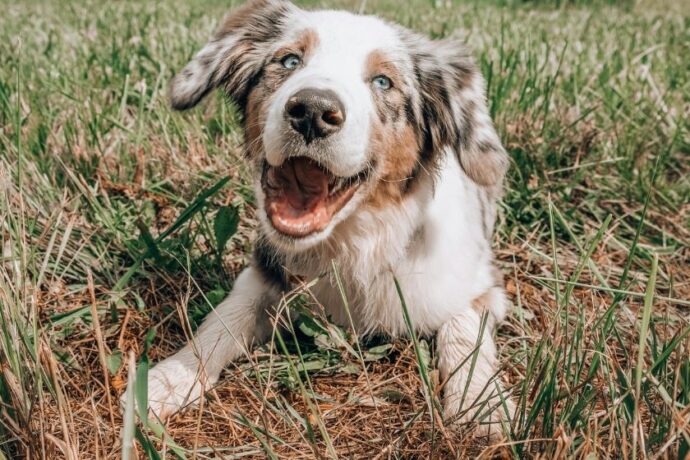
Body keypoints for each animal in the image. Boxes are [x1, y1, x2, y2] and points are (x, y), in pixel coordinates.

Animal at [125, 0, 510, 438]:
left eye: (383, 82)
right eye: (290, 60)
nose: (312, 110)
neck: (352, 245)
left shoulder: (481, 284)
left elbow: (464, 331)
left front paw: (481, 405)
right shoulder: (264, 272)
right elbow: (222, 320)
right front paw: (167, 379)